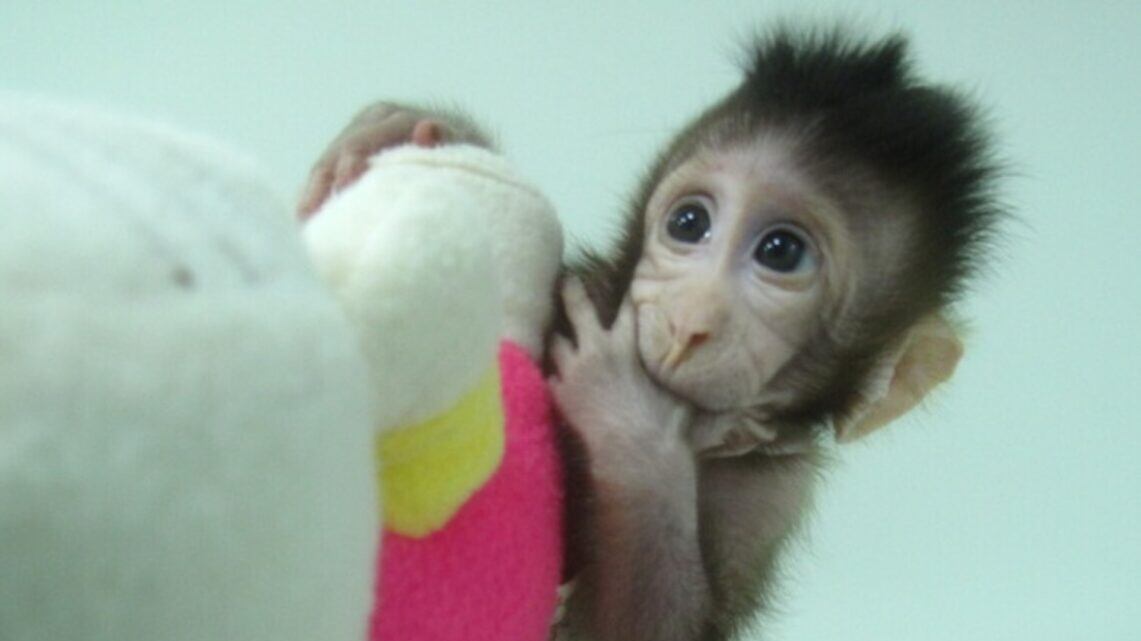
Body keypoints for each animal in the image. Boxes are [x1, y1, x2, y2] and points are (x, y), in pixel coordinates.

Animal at [299, 26, 1002, 641]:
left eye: (781, 252)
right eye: (689, 223)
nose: (690, 324)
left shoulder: (772, 492)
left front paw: (629, 421)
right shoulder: (586, 290)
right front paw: (404, 125)